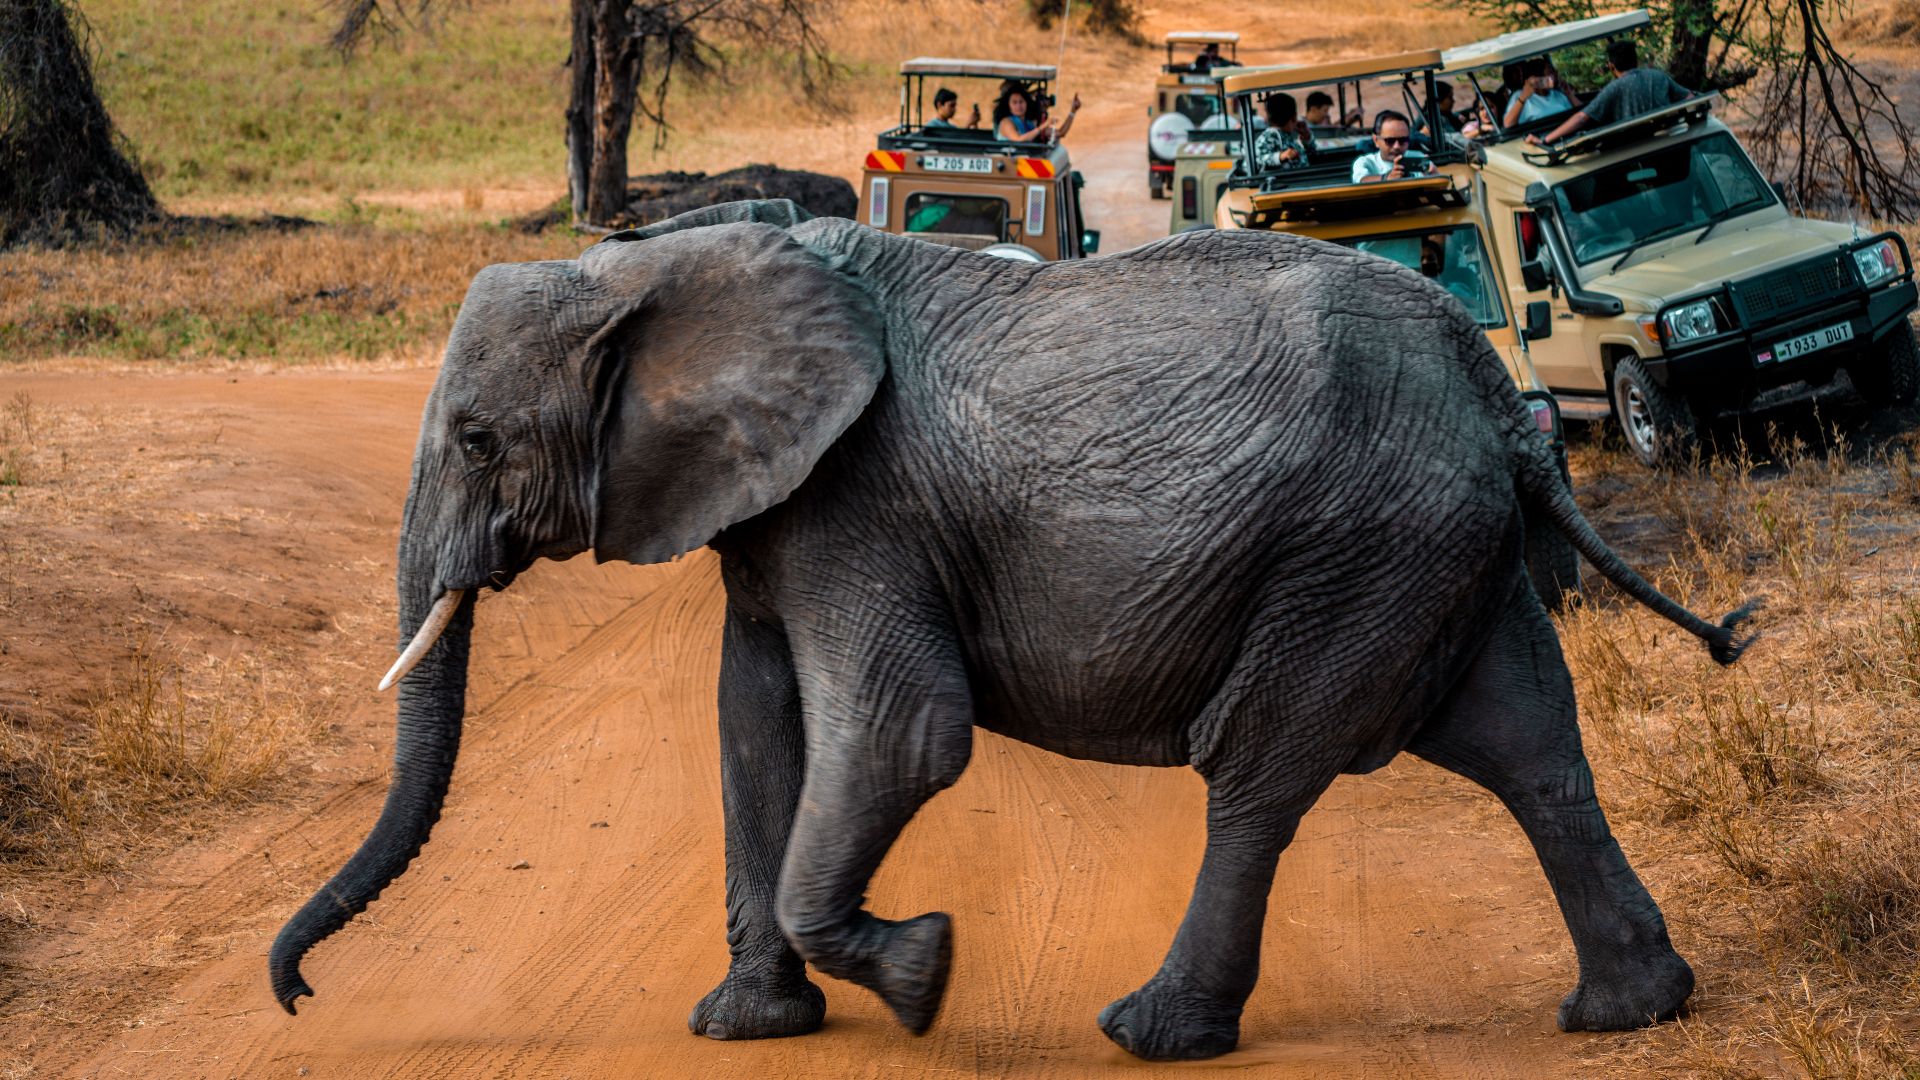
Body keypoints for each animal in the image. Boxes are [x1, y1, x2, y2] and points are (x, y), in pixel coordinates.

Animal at [269, 199, 1755, 1061]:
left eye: (477, 440)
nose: (294, 998)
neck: (657, 264)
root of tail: (1497, 389)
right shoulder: (777, 508)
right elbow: (754, 729)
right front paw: (745, 1028)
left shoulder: (861, 498)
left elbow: (901, 736)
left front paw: (921, 976)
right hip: (1437, 545)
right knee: (1530, 746)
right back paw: (1634, 1010)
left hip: (1357, 548)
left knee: (1261, 766)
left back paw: (1152, 1031)